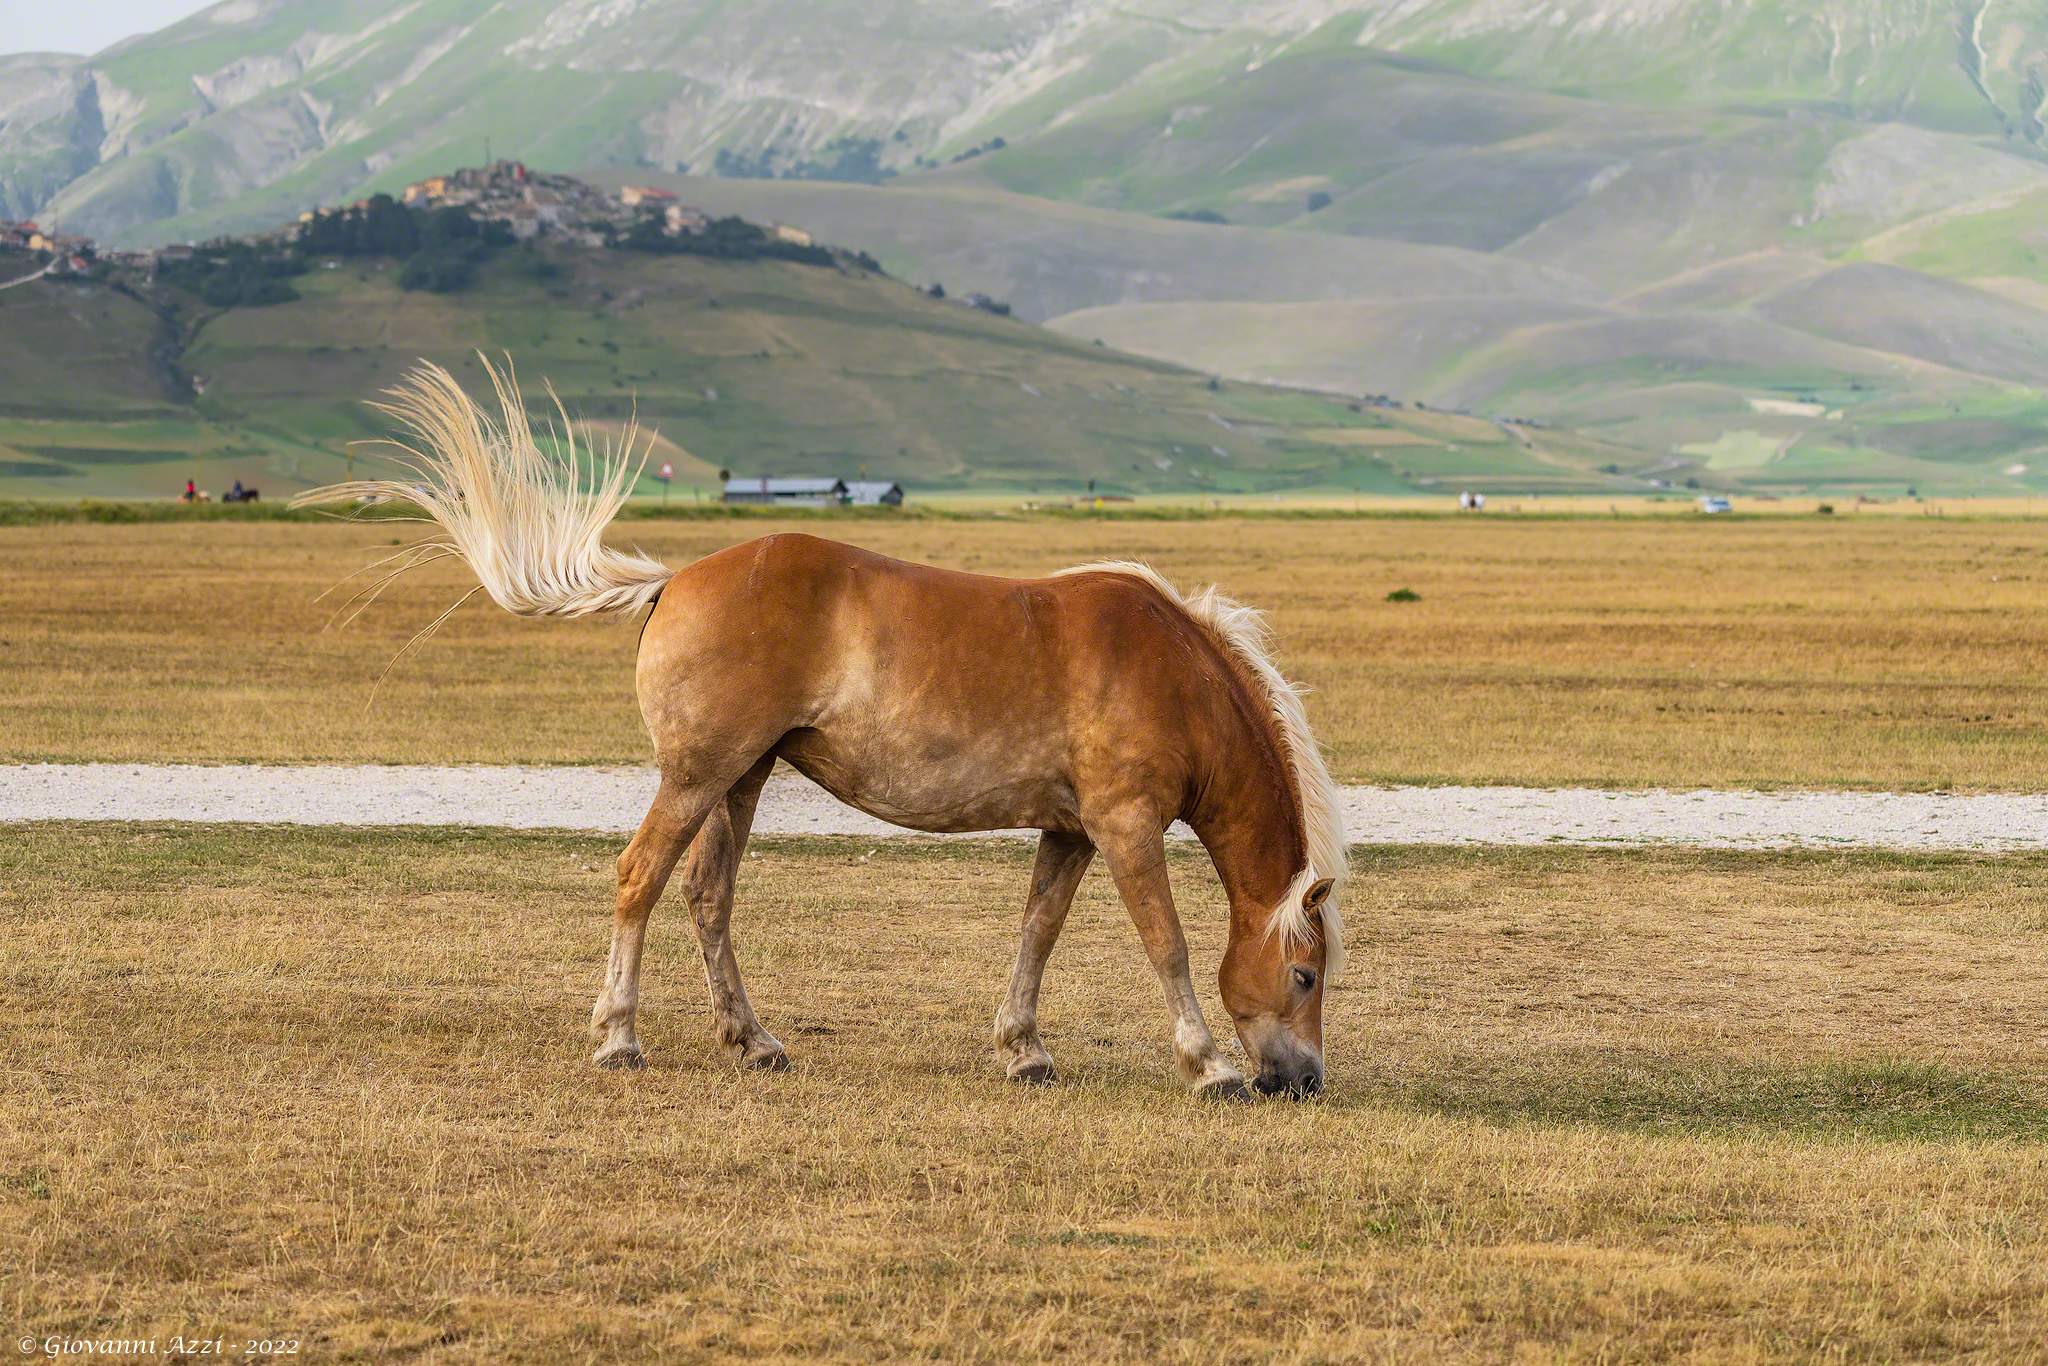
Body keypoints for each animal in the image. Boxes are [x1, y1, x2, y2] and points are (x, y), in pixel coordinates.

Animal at [296, 359, 1347, 1099]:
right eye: (1303, 975)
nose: (1301, 1082)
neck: (1172, 672)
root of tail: (679, 578)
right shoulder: (1126, 830)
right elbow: (1166, 944)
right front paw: (1208, 1066)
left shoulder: (1070, 833)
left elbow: (1036, 933)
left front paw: (1023, 1050)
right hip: (697, 775)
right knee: (641, 879)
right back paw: (619, 1037)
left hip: (743, 777)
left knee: (708, 898)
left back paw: (753, 1040)